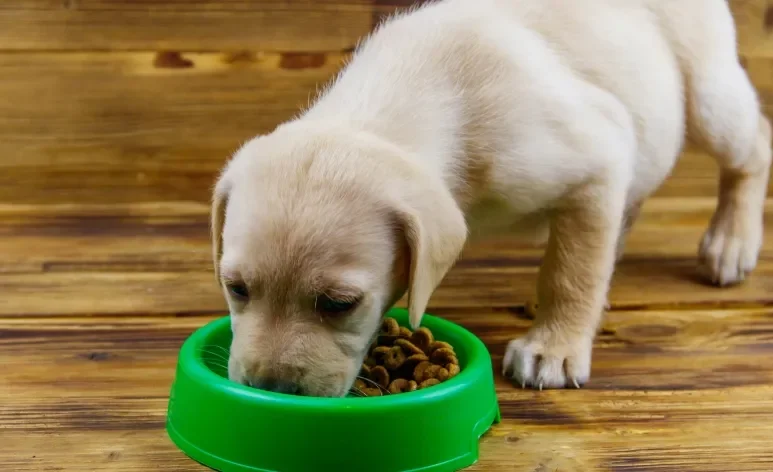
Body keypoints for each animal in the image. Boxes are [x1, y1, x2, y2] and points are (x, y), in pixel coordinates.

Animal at [208, 0, 768, 396]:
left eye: (339, 304)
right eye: (236, 288)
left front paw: (554, 347)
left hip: (709, 97)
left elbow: (572, 270)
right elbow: (584, 253)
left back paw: (731, 242)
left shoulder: (598, 155)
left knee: (754, 143)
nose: (270, 389)